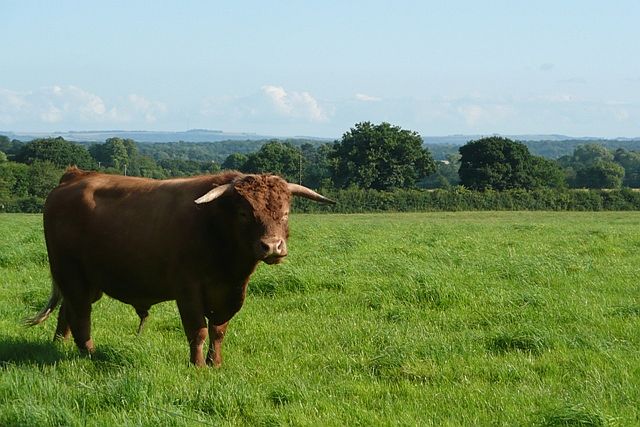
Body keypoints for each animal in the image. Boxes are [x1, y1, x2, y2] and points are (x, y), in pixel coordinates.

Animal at [26, 167, 336, 368]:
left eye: (285, 213)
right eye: (244, 213)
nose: (272, 247)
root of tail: (76, 176)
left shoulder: (231, 293)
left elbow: (218, 330)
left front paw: (215, 363)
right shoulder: (188, 291)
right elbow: (198, 330)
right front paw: (197, 366)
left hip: (87, 281)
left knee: (67, 311)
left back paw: (60, 345)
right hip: (70, 273)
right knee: (81, 316)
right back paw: (90, 354)